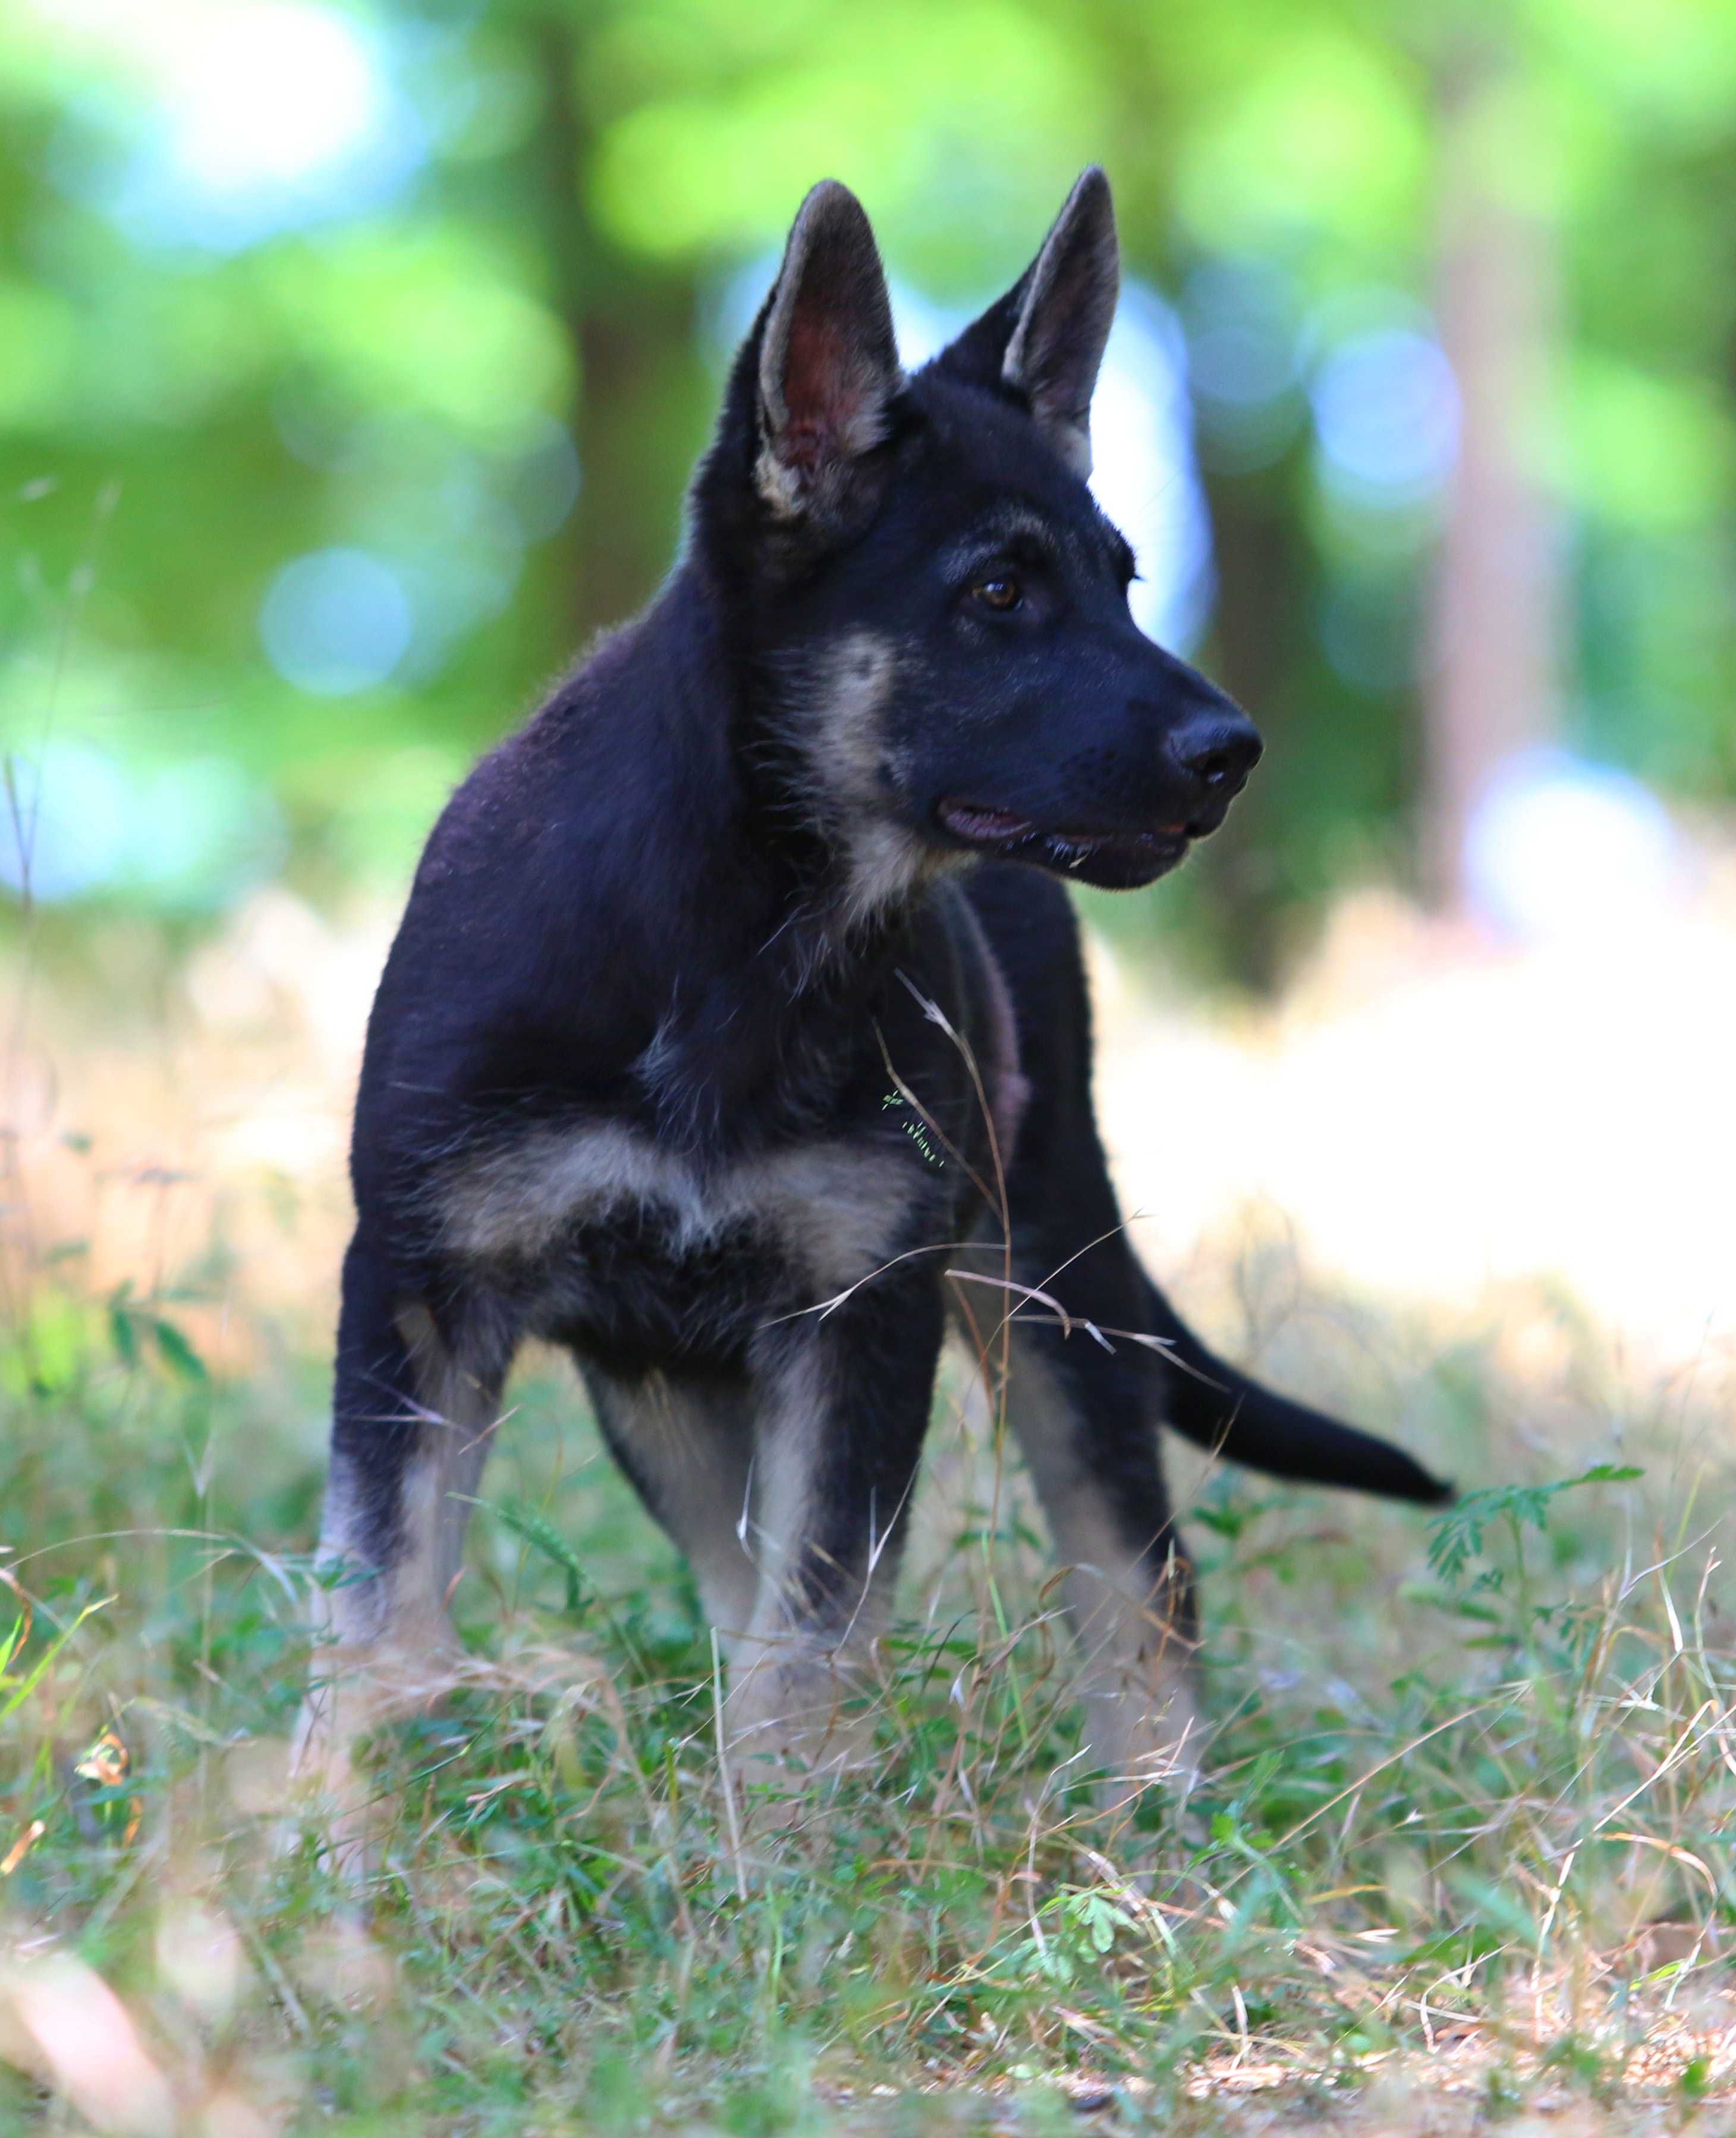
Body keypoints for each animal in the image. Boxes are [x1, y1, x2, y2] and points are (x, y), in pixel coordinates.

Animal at [291, 171, 1445, 1838]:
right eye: (999, 590)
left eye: (1122, 579)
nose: (1234, 753)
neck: (737, 935)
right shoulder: (422, 1289)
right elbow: (379, 1604)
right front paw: (329, 1843)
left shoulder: (861, 1321)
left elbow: (817, 1628)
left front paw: (783, 1855)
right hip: (665, 1387)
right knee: (744, 1583)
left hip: (1053, 1283)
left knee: (1136, 1576)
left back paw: (1155, 1821)